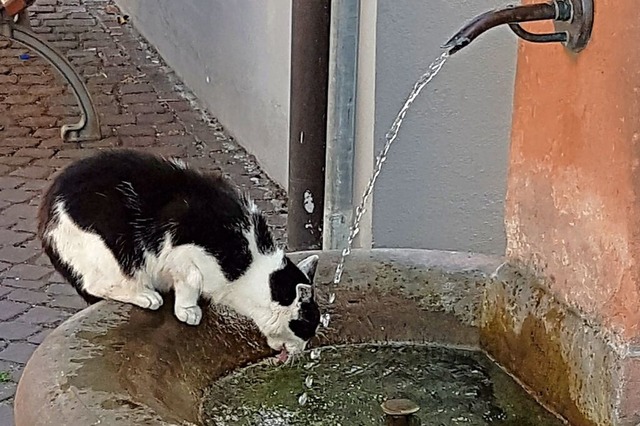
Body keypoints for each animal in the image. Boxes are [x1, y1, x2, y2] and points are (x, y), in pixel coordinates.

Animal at [38, 150, 320, 360]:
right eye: (306, 328)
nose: (304, 350)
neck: (248, 265)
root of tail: (47, 210)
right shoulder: (182, 247)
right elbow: (190, 280)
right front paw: (188, 309)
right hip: (110, 248)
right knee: (99, 283)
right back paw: (145, 295)